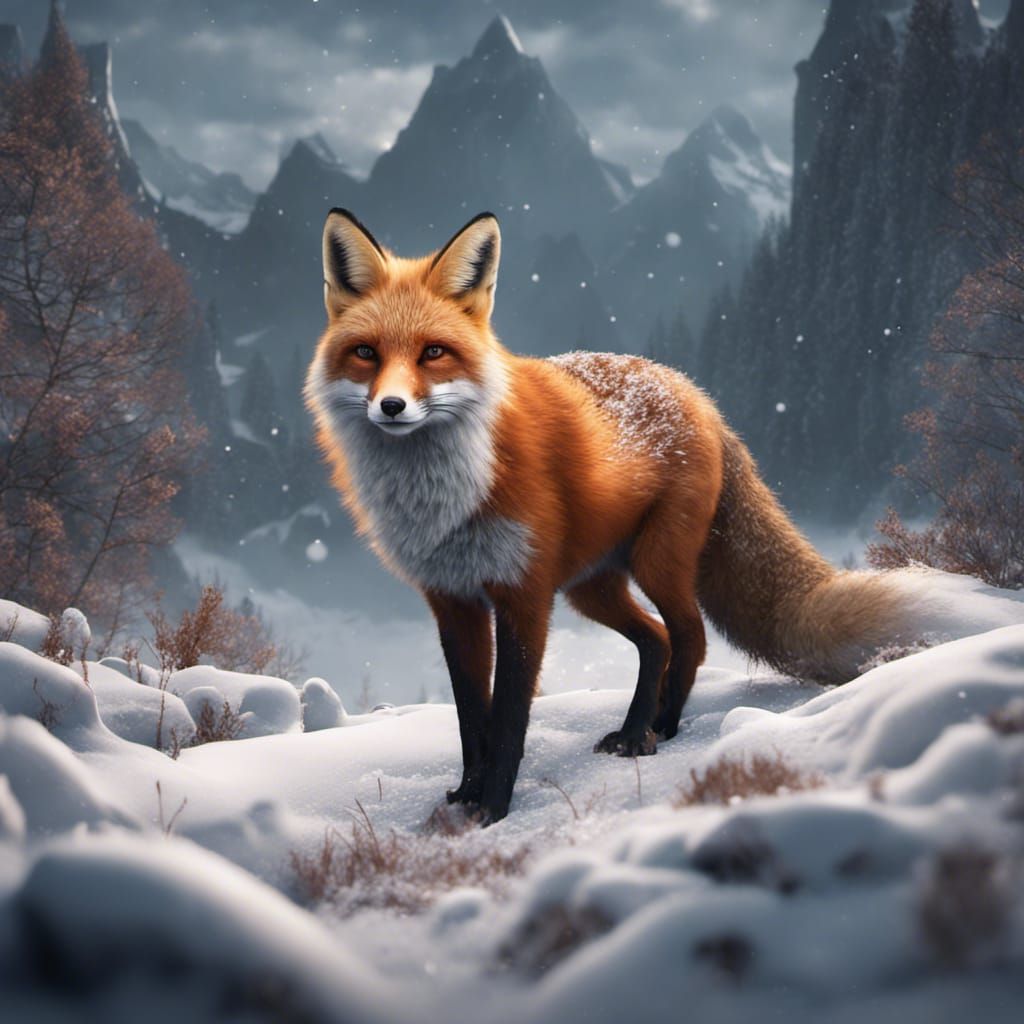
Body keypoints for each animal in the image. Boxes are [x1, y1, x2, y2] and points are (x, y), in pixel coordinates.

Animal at [305, 208, 919, 824]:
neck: (443, 499)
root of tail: (697, 393)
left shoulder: (525, 595)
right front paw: (467, 794)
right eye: (366, 353)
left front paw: (496, 807)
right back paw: (634, 729)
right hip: (591, 587)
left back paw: (659, 729)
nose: (391, 407)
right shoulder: (453, 602)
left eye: (433, 352)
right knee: (656, 640)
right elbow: (470, 718)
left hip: (655, 563)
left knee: (689, 636)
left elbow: (508, 718)